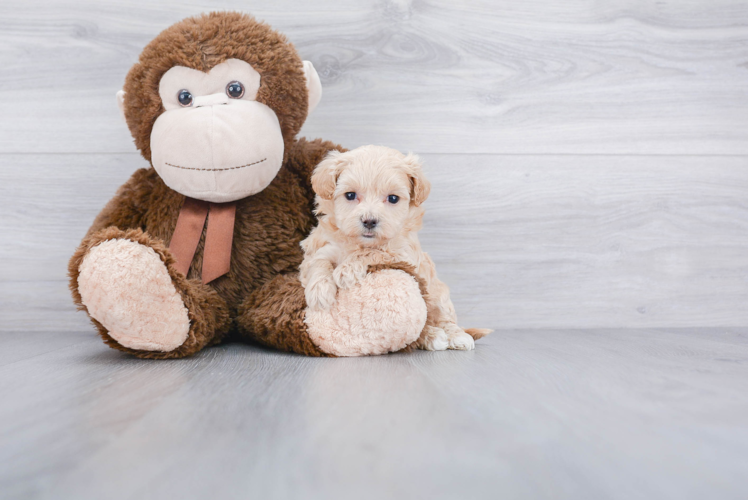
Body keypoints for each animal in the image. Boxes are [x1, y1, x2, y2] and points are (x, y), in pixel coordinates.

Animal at [298, 144, 490, 352]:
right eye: (350, 195)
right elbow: (319, 262)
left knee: (441, 319)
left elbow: (374, 252)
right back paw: (433, 336)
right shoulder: (325, 247)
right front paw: (319, 292)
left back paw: (454, 336)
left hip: (438, 296)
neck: (360, 243)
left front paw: (346, 270)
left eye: (392, 198)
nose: (369, 221)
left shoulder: (402, 254)